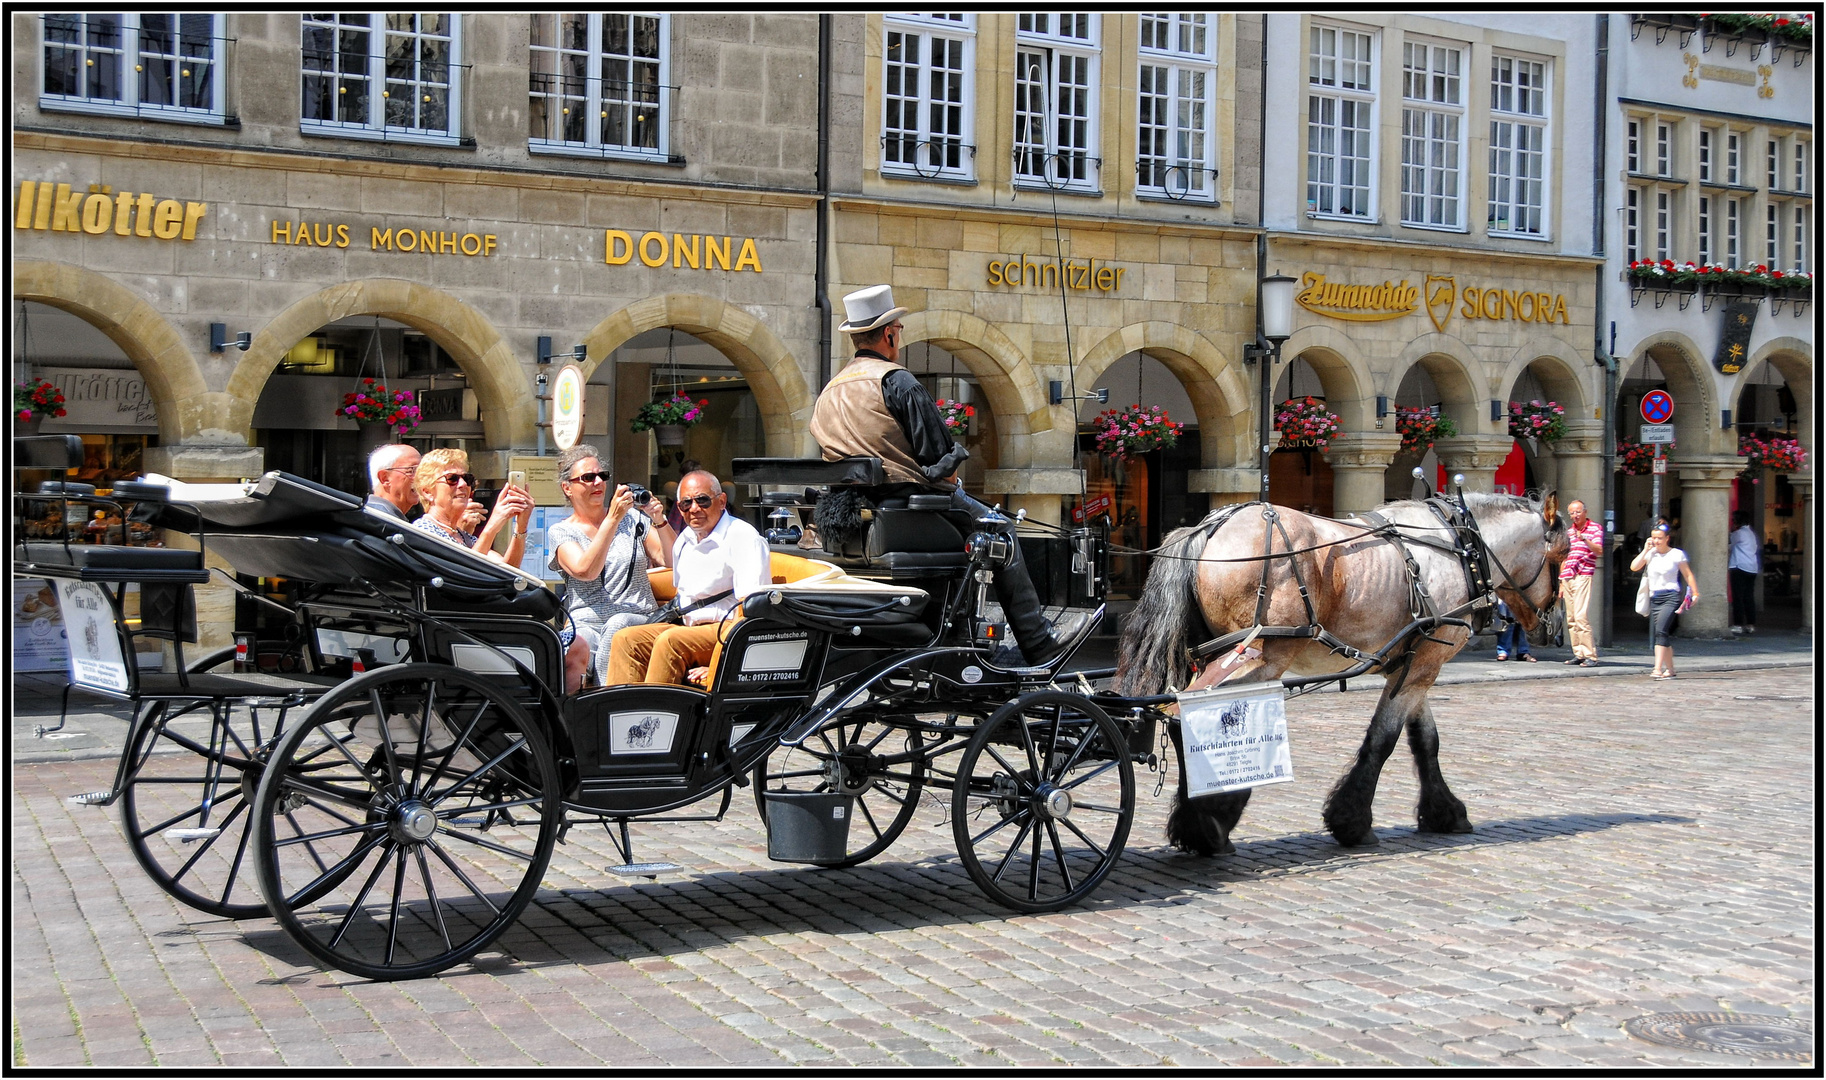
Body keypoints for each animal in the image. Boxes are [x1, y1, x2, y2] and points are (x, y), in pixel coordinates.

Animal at [1110, 489, 1570, 855]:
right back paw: (1211, 822)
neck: (1460, 549)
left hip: (1214, 657)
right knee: (1194, 720)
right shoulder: (1424, 665)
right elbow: (1383, 741)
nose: (1554, 627)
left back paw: (1202, 823)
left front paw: (1444, 812)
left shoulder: (1413, 664)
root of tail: (1210, 526)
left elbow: (1425, 742)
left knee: (1178, 719)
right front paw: (1353, 821)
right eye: (1564, 555)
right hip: (1258, 659)